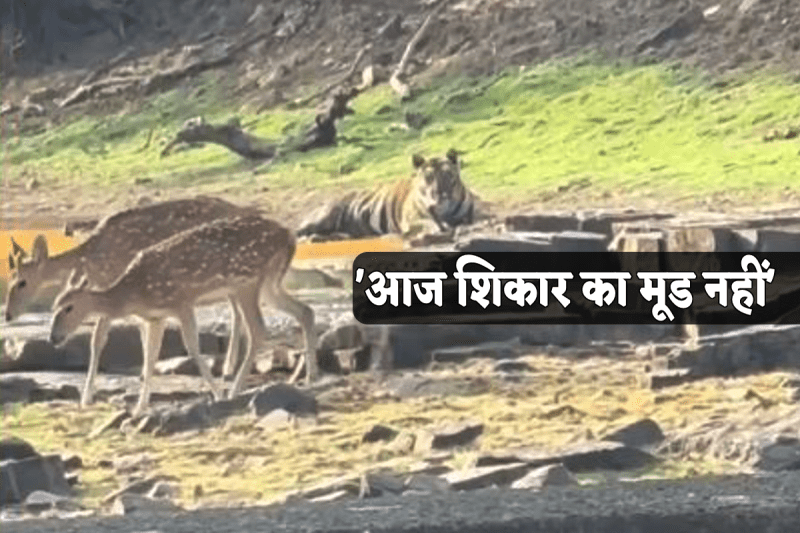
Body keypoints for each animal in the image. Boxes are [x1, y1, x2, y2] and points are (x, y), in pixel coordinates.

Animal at [296, 149, 479, 241]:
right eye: (428, 178)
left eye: (447, 175)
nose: (440, 195)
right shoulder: (413, 220)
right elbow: (431, 223)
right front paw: (440, 229)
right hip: (325, 216)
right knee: (299, 231)